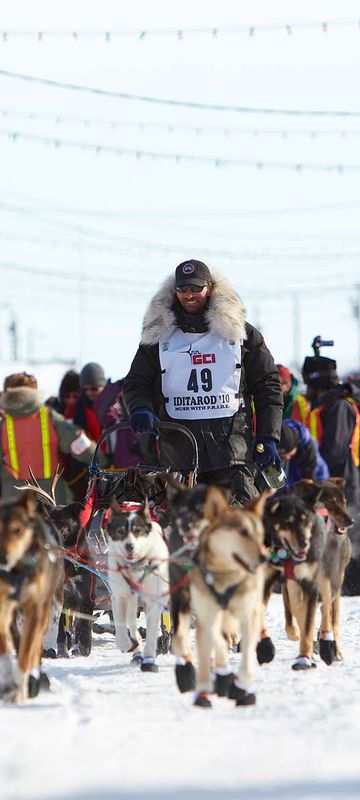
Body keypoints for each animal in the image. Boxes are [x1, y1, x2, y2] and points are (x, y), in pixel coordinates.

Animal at [0, 490, 62, 704]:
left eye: (17, 530)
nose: (3, 557)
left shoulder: (35, 608)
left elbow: (27, 652)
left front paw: (19, 689)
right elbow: (6, 648)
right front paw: (8, 683)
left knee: (36, 646)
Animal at [106, 496, 169, 672]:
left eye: (137, 530)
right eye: (120, 531)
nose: (130, 546)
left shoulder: (154, 600)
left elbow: (152, 632)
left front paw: (149, 659)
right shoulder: (119, 597)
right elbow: (121, 626)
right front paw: (127, 644)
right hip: (131, 600)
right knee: (132, 624)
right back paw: (136, 650)